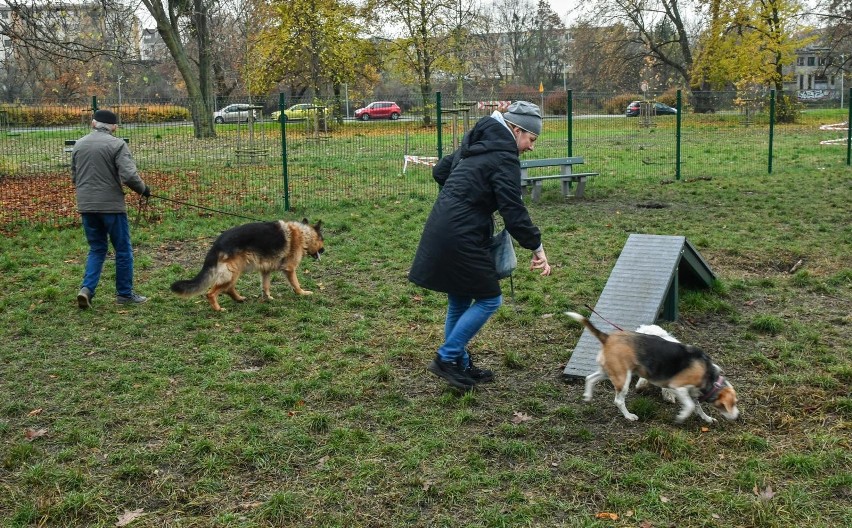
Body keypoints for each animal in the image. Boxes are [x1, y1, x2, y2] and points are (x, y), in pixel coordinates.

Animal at [171, 218, 324, 310]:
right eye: (322, 239)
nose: (324, 250)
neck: (304, 233)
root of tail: (217, 244)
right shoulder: (290, 269)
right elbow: (295, 283)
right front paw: (302, 293)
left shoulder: (265, 270)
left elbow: (265, 286)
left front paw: (267, 298)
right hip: (232, 272)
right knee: (211, 293)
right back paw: (218, 309)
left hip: (234, 271)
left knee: (228, 289)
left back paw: (239, 299)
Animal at [564, 312, 740, 422]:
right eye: (731, 404)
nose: (737, 416)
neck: (709, 374)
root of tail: (608, 337)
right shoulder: (679, 387)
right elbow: (690, 406)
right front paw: (681, 417)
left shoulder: (693, 393)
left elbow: (698, 408)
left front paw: (707, 419)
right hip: (623, 379)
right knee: (618, 401)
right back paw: (629, 416)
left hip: (610, 372)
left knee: (590, 378)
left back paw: (587, 396)